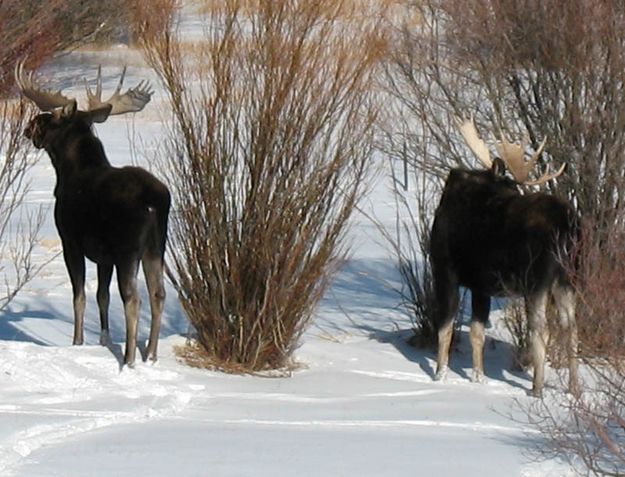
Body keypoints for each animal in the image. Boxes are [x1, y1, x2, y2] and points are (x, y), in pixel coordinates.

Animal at [15, 58, 171, 364]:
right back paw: (151, 355)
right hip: (156, 246)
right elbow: (102, 296)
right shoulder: (103, 255)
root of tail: (153, 202)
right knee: (158, 294)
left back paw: (130, 359)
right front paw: (103, 341)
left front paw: (77, 342)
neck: (68, 172)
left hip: (128, 248)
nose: (28, 127)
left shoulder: (71, 241)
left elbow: (80, 297)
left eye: (50, 117)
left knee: (133, 298)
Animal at [432, 117, 576, 396]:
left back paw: (537, 389)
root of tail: (566, 225)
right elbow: (477, 333)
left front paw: (439, 375)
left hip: (536, 279)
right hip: (567, 278)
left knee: (541, 329)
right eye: (511, 187)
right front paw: (479, 378)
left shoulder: (445, 271)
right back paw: (574, 389)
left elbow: (445, 328)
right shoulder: (481, 285)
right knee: (570, 325)